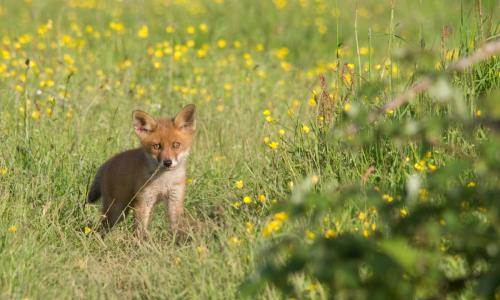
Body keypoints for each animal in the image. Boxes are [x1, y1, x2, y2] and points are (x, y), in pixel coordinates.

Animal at [86, 104, 195, 238]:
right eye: (157, 146)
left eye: (176, 145)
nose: (167, 162)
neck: (164, 181)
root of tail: (108, 162)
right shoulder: (144, 201)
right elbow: (140, 230)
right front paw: (141, 242)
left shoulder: (174, 199)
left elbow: (177, 228)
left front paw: (179, 241)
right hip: (116, 211)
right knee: (102, 227)